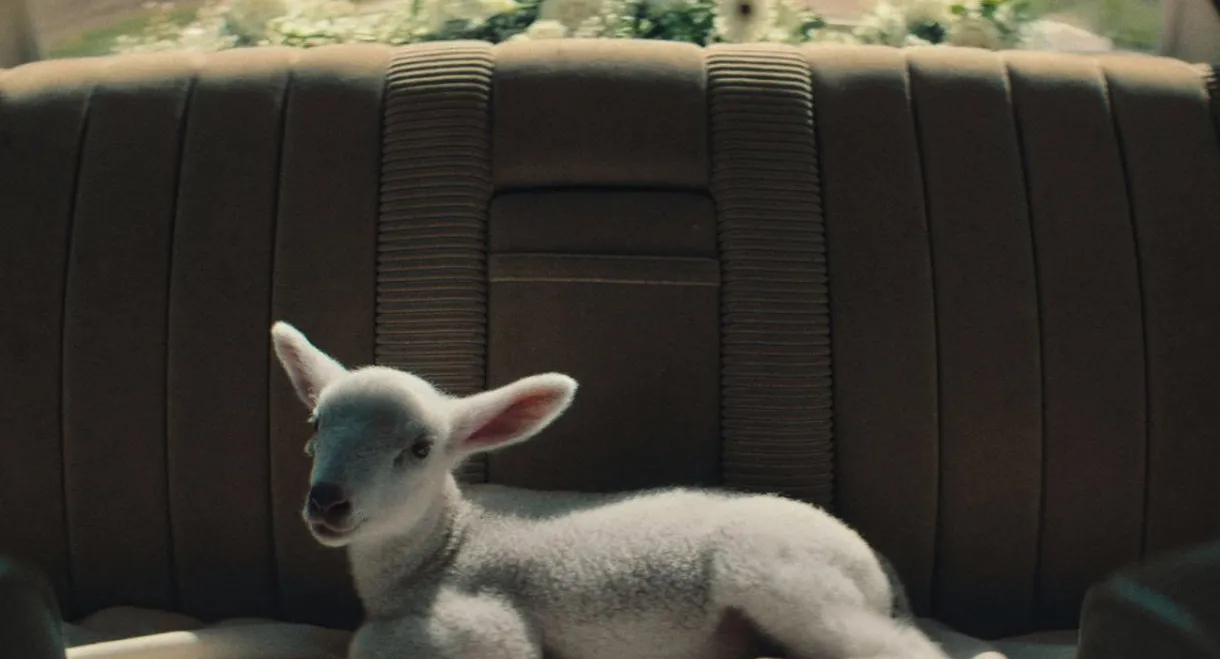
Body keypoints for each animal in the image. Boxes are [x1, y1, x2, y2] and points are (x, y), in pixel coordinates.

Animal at [270, 321, 951, 659]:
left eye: (419, 449)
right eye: (315, 425)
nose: (327, 501)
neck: (445, 544)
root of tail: (873, 561)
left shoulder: (481, 624)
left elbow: (374, 643)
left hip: (787, 576)